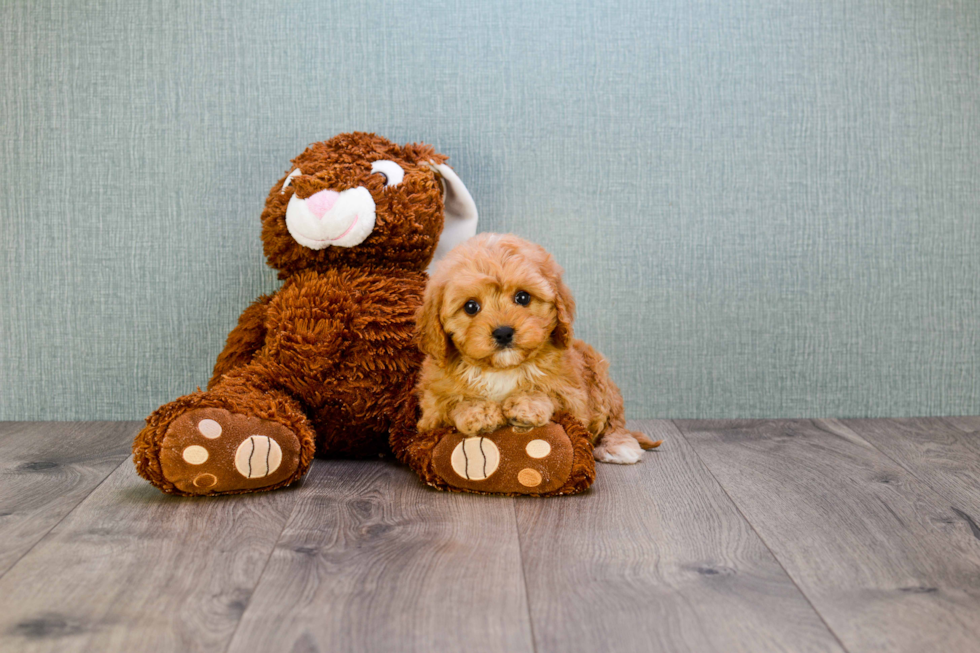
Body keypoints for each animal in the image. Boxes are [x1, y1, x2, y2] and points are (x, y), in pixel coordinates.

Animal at [414, 232, 660, 460]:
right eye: (471, 307)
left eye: (523, 297)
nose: (503, 332)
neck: (502, 369)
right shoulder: (431, 411)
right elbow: (451, 404)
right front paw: (479, 410)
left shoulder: (574, 398)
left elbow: (549, 393)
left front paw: (526, 404)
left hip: (599, 375)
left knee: (613, 421)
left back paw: (618, 446)